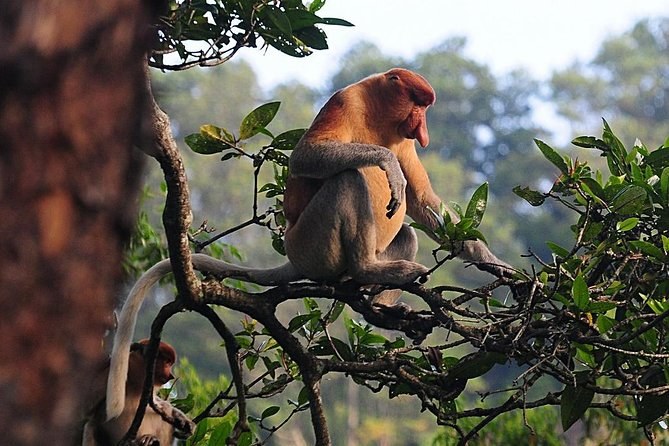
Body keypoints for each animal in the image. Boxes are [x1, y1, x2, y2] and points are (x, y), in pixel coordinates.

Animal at [106, 68, 514, 418]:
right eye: (419, 102)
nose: (423, 129)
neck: (380, 112)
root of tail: (293, 255)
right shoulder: (345, 102)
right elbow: (309, 157)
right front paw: (388, 166)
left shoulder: (403, 141)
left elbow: (424, 203)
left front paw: (506, 273)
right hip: (313, 242)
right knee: (349, 178)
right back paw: (371, 270)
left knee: (406, 232)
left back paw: (380, 305)